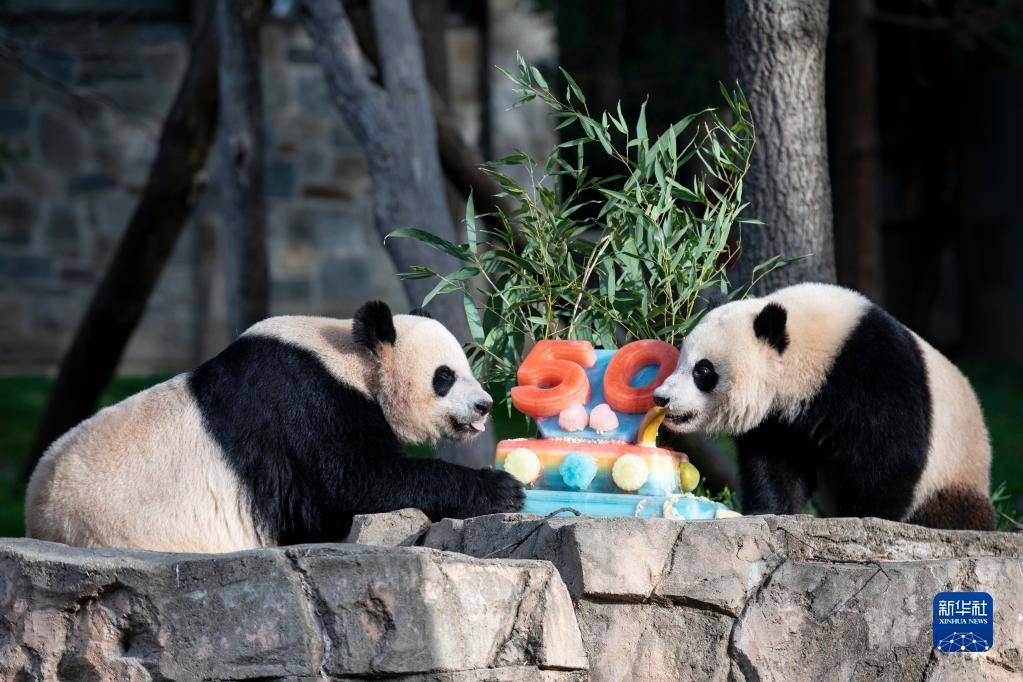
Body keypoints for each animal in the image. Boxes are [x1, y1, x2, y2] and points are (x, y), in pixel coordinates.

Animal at [28, 300, 523, 552]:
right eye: (445, 377)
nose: (483, 406)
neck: (349, 355)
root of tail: (38, 519)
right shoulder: (304, 404)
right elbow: (354, 483)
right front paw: (501, 488)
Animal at [650, 280, 994, 531]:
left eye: (703, 371)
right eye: (681, 360)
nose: (661, 397)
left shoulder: (874, 372)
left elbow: (889, 456)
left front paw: (864, 518)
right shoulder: (780, 417)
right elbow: (776, 464)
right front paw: (769, 511)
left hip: (953, 471)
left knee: (951, 512)